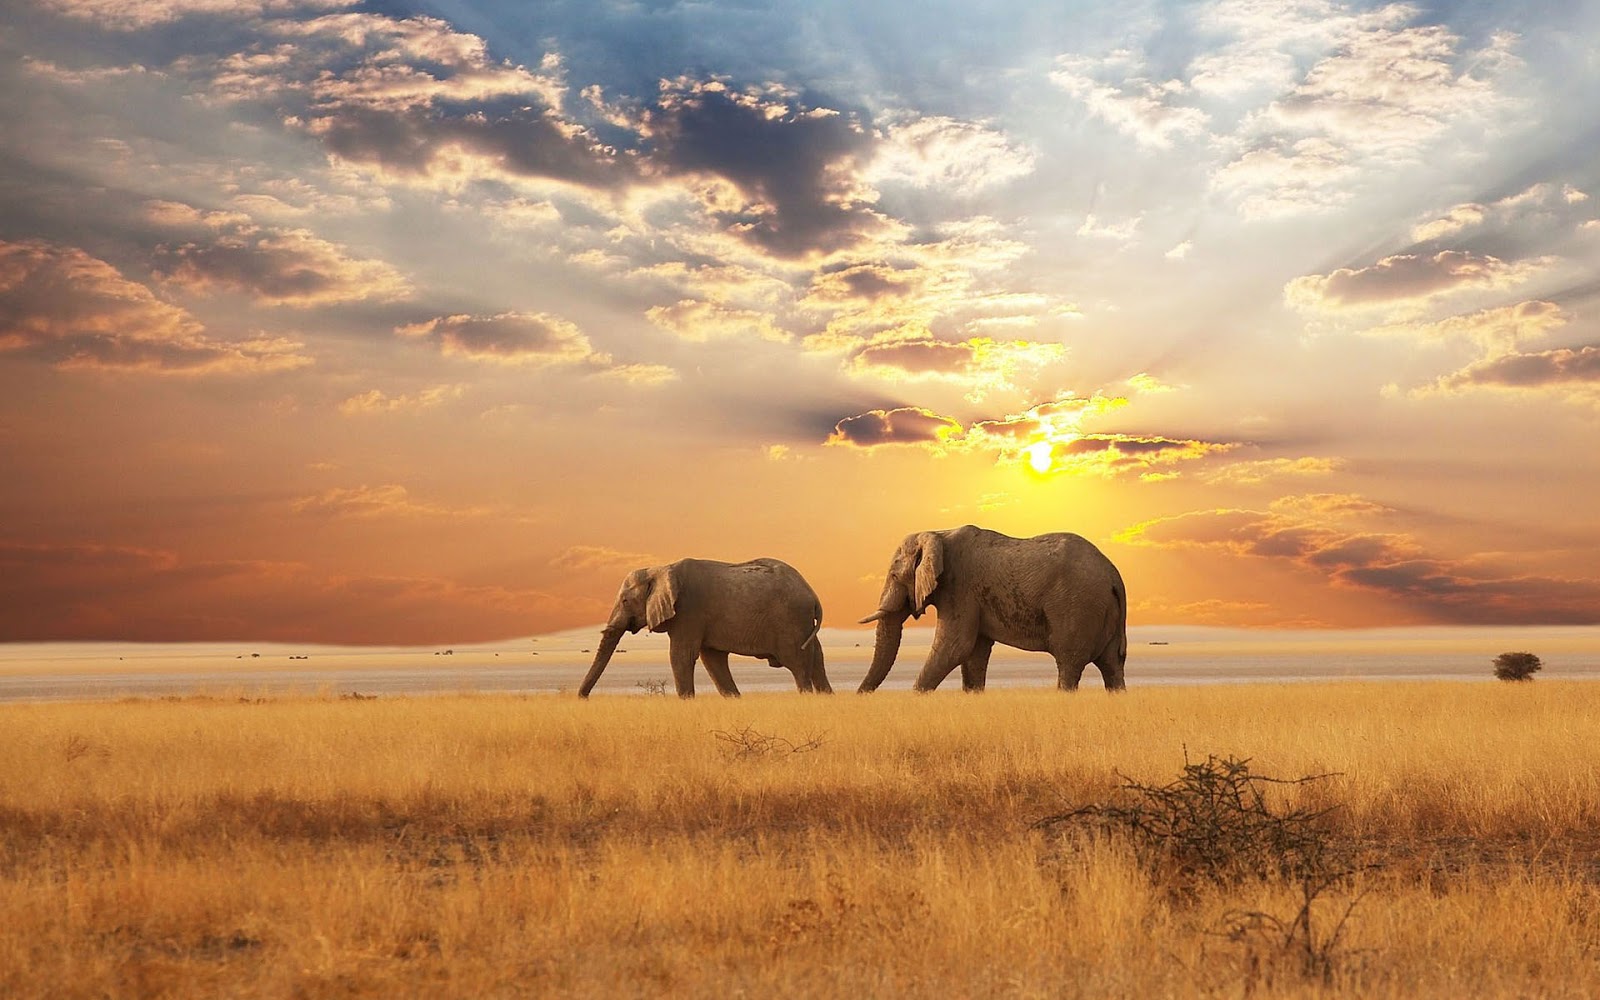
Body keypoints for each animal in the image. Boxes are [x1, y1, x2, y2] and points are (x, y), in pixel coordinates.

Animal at [578, 557, 831, 698]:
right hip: (802, 623)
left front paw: (686, 701)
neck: (660, 569)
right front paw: (733, 699)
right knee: (817, 660)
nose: (583, 698)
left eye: (624, 601)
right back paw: (827, 697)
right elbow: (712, 659)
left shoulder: (689, 612)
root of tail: (813, 594)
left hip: (791, 621)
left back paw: (807, 697)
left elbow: (681, 655)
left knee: (798, 665)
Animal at [857, 524, 1127, 693]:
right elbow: (974, 653)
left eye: (894, 575)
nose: (860, 696)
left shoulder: (960, 588)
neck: (938, 533)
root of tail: (1114, 574)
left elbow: (955, 646)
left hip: (1077, 606)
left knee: (1069, 662)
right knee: (1112, 665)